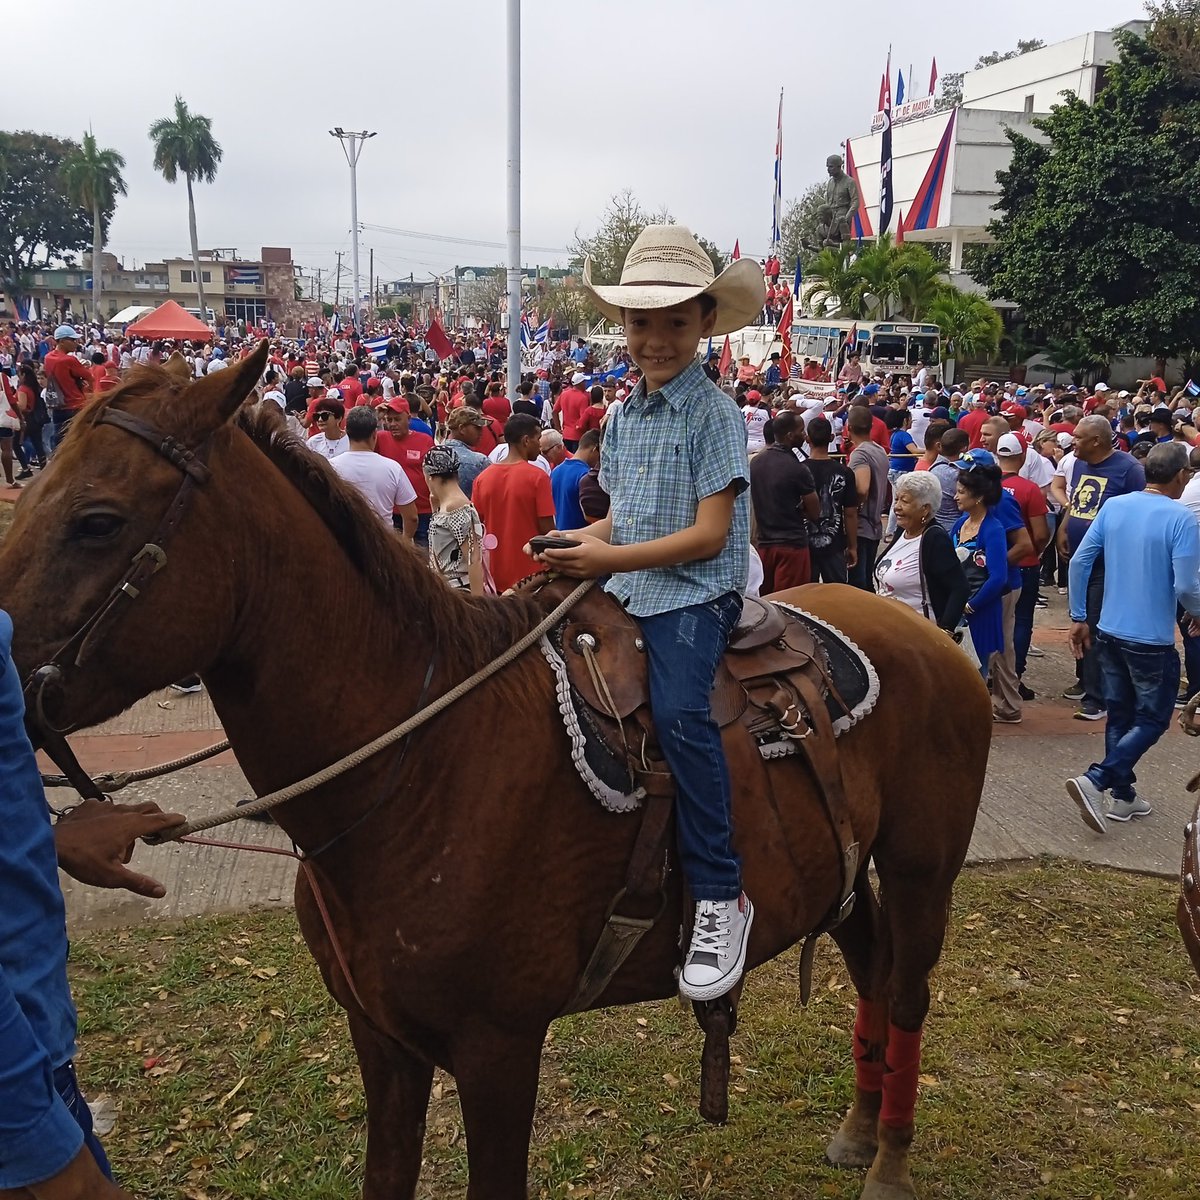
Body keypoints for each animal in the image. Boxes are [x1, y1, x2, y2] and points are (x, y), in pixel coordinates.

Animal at [0, 345, 988, 1200]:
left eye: (97, 521)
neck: (422, 769)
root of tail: (927, 635)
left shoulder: (498, 1052)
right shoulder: (382, 1041)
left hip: (920, 872)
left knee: (907, 992)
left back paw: (888, 1158)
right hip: (841, 874)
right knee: (870, 971)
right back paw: (857, 1128)